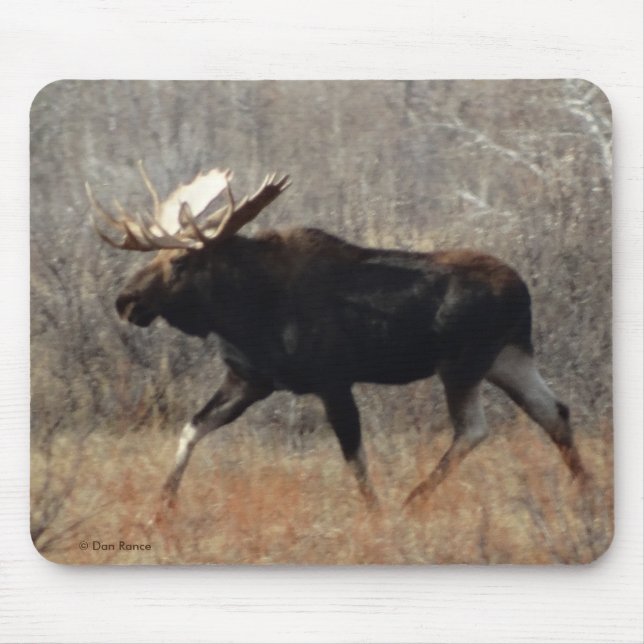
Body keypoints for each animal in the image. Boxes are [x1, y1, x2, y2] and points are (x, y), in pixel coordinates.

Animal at [86, 162, 585, 511]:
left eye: (180, 262)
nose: (126, 301)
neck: (243, 311)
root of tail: (522, 291)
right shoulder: (250, 380)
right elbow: (191, 428)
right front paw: (161, 507)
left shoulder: (331, 380)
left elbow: (355, 458)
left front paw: (377, 514)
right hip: (509, 357)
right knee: (554, 411)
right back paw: (588, 492)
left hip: (464, 364)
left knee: (474, 429)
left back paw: (412, 500)